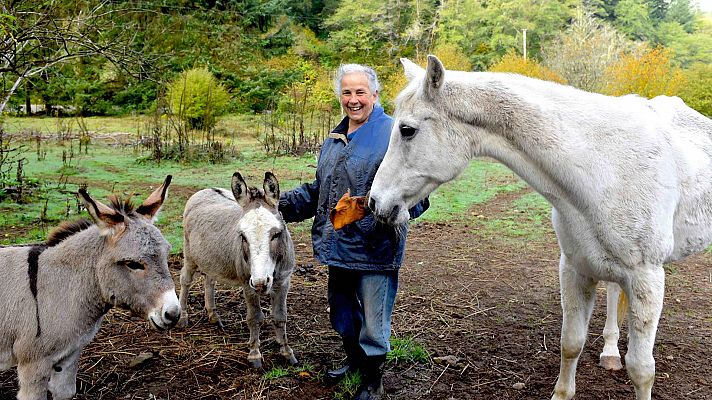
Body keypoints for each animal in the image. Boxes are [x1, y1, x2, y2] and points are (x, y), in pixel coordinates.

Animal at [368, 57, 712, 400]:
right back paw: (610, 351)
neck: (605, 167)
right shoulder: (575, 268)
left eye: (407, 130)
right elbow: (571, 343)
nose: (375, 202)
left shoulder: (645, 277)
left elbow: (641, 369)